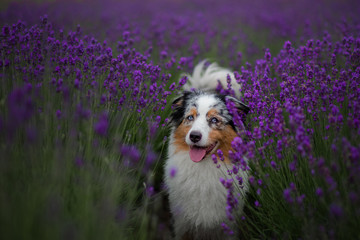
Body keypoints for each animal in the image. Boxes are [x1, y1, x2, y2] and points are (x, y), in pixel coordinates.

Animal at [165, 61, 249, 240]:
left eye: (214, 120)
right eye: (190, 117)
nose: (194, 136)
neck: (203, 167)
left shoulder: (228, 224)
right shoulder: (183, 223)